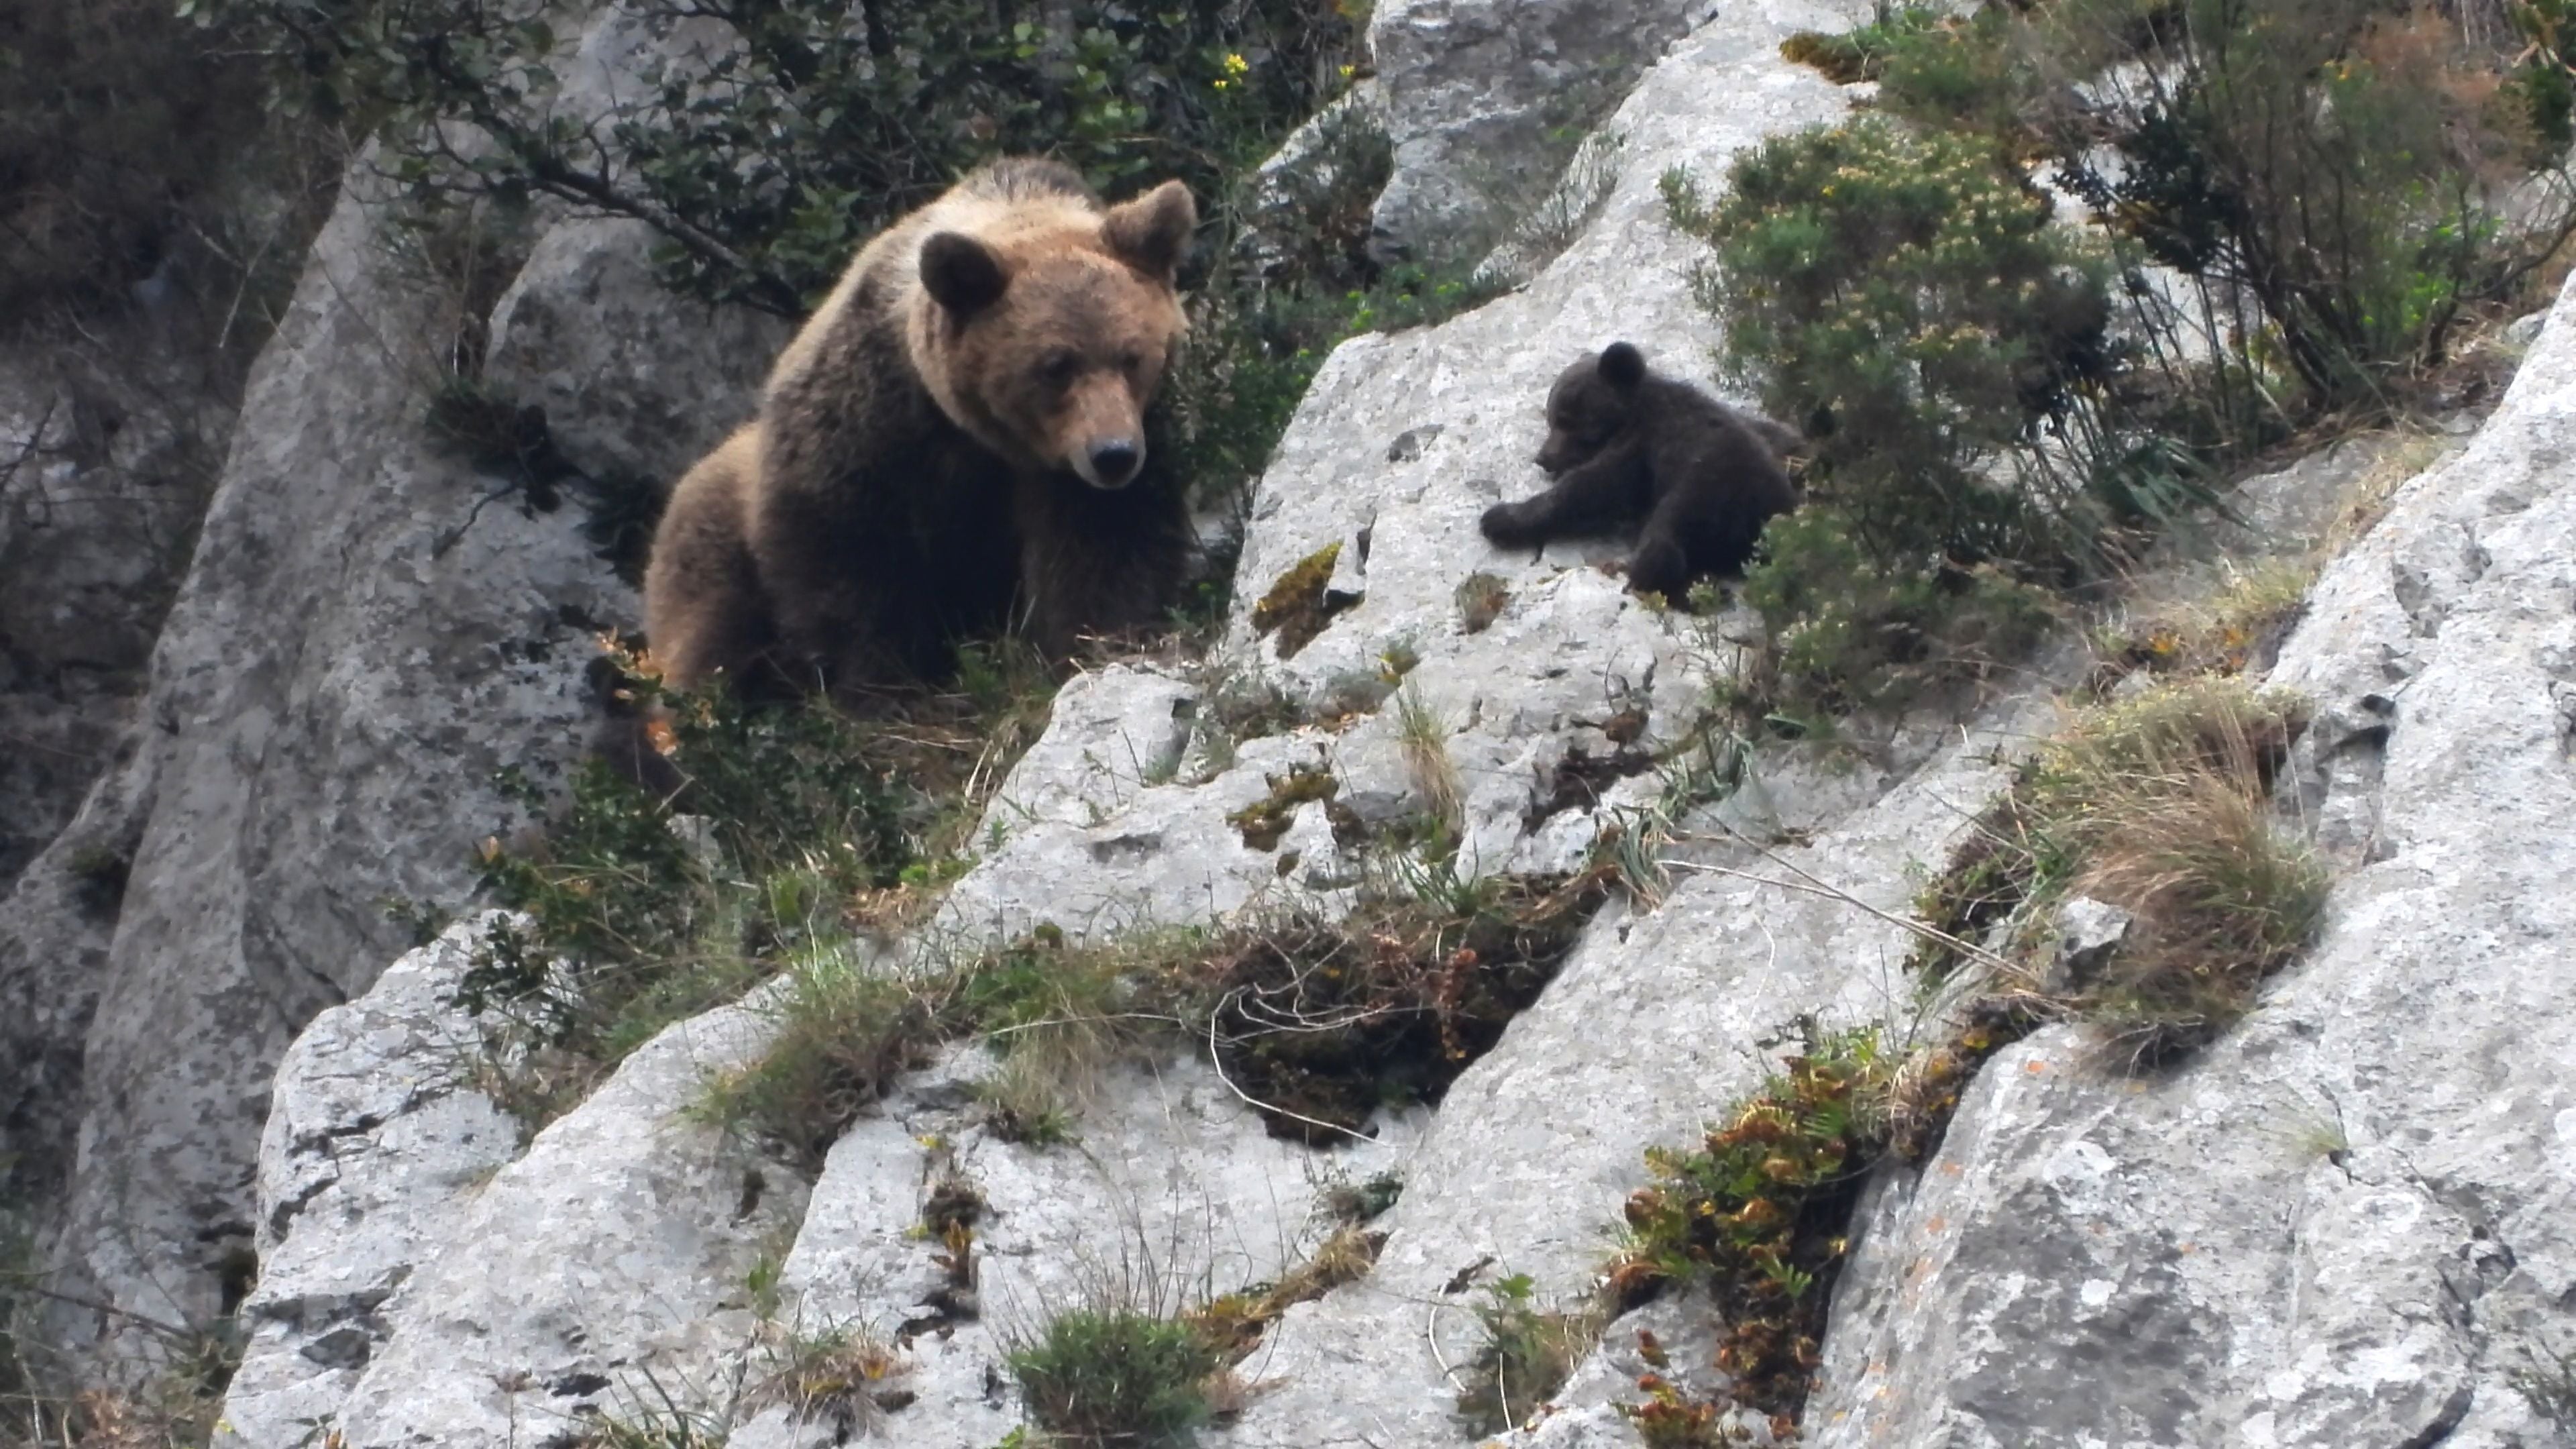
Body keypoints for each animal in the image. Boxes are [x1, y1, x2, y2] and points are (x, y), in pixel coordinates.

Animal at [644, 158, 1205, 701]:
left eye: (1132, 356)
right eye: (1055, 365)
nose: (1113, 455)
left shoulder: (1094, 460)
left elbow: (1105, 545)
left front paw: (1094, 641)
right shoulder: (868, 424)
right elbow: (853, 565)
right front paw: (881, 685)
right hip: (713, 546)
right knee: (716, 644)